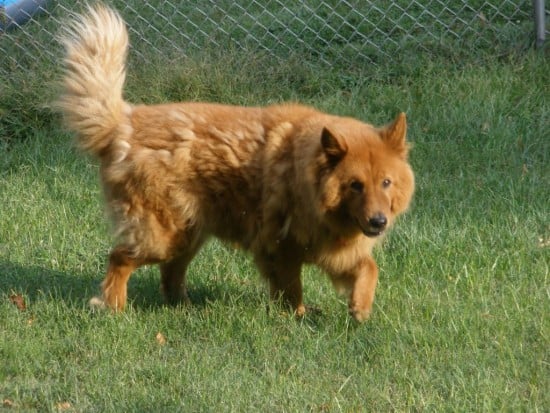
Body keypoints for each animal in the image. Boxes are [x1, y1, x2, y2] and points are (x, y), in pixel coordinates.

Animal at [58, 4, 416, 322]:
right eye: (355, 185)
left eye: (386, 183)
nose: (379, 222)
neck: (307, 176)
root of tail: (123, 124)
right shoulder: (282, 249)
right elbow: (291, 290)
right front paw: (297, 318)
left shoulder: (335, 250)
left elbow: (369, 267)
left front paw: (361, 306)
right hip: (162, 236)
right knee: (119, 257)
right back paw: (114, 307)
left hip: (187, 235)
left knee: (170, 273)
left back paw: (184, 307)